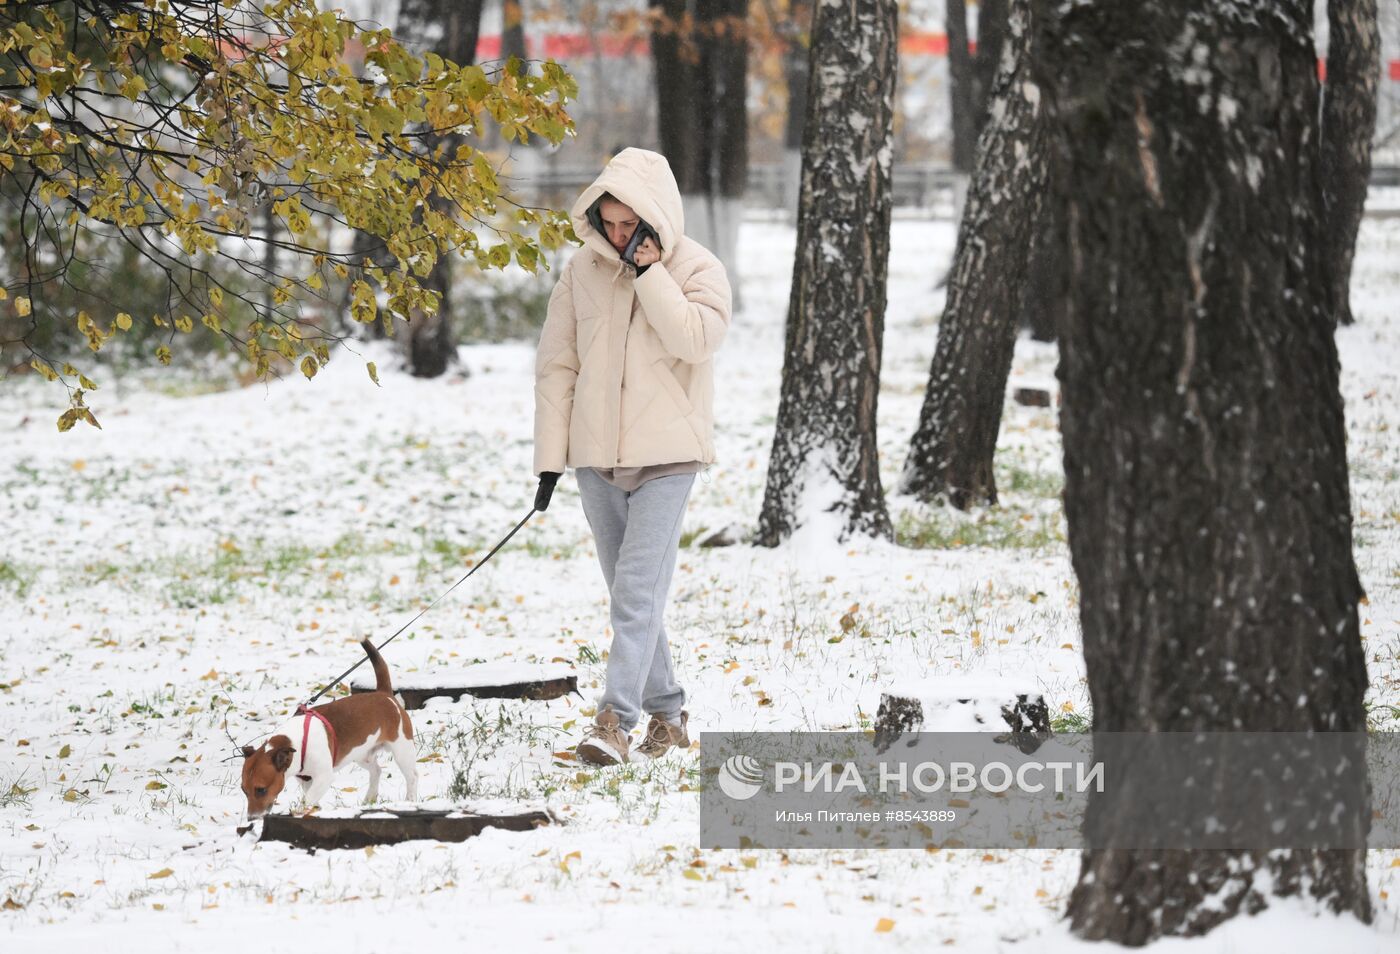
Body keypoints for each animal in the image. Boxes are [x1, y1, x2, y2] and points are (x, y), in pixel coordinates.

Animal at [240, 638, 417, 818]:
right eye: (244, 791)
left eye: (261, 790)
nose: (251, 819)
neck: (297, 742)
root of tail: (384, 694)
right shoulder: (305, 779)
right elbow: (310, 797)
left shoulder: (324, 777)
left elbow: (308, 798)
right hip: (361, 754)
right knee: (376, 771)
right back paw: (370, 799)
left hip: (402, 750)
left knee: (412, 776)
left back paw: (410, 800)